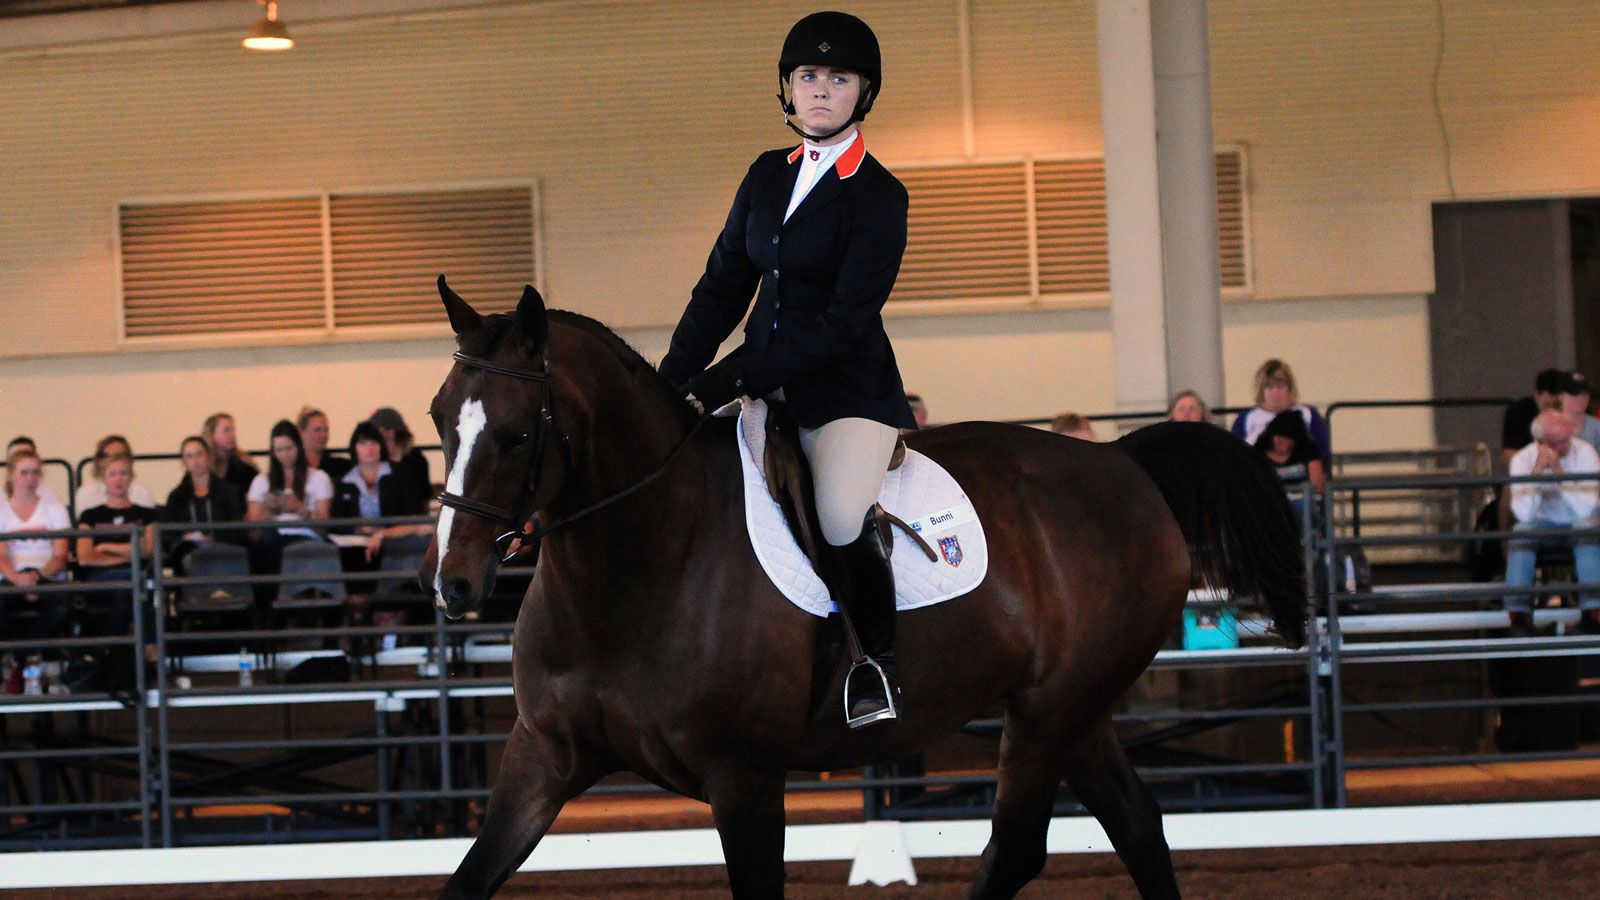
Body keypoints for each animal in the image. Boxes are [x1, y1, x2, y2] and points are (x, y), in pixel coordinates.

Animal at [428, 277, 1312, 890]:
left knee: (1016, 852)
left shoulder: (743, 779)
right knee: (1136, 829)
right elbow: (469, 880)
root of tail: (1125, 464)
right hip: (1072, 711)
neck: (638, 567)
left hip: (1050, 713)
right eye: (440, 419)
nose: (454, 586)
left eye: (516, 435)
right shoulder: (543, 757)